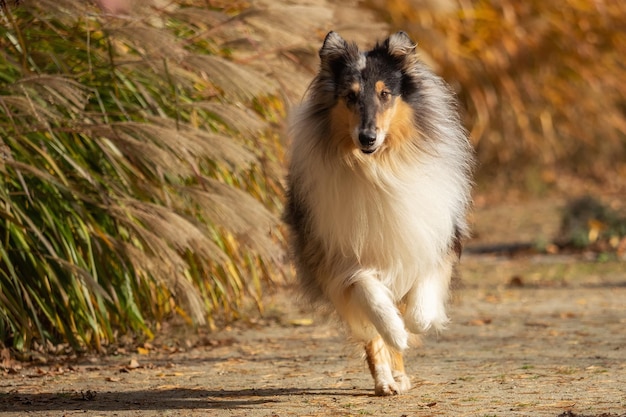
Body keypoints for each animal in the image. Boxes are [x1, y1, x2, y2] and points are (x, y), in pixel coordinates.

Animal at [282, 30, 472, 394]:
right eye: (350, 96)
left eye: (385, 94)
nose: (367, 137)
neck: (378, 167)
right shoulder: (341, 258)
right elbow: (373, 300)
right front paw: (395, 330)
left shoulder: (432, 238)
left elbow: (419, 310)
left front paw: (412, 324)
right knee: (372, 332)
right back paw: (386, 379)